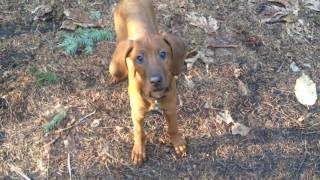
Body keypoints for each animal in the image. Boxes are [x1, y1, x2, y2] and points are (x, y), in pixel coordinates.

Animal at [109, 0, 186, 166]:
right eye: (139, 58)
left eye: (163, 54)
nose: (155, 81)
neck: (154, 96)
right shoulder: (137, 114)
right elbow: (139, 132)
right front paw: (139, 150)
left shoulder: (171, 108)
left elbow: (173, 127)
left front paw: (177, 142)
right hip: (119, 39)